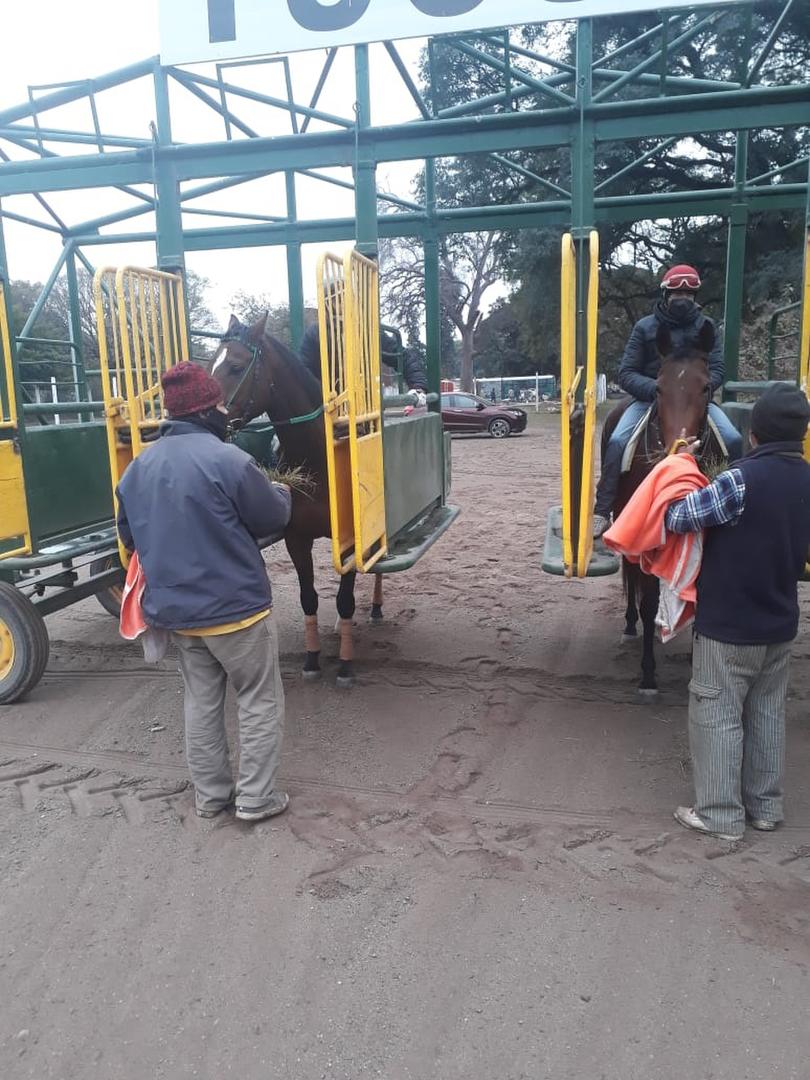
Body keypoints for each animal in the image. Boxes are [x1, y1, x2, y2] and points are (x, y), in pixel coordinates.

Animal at [212, 313, 384, 686]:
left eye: (236, 366)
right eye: (210, 362)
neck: (318, 458)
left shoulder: (349, 541)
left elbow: (345, 599)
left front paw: (345, 664)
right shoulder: (297, 539)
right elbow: (310, 599)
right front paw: (312, 659)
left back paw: (377, 608)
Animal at [604, 315, 730, 695]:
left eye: (706, 387)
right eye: (658, 388)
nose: (680, 449)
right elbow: (647, 603)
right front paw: (648, 676)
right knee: (631, 575)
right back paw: (630, 626)